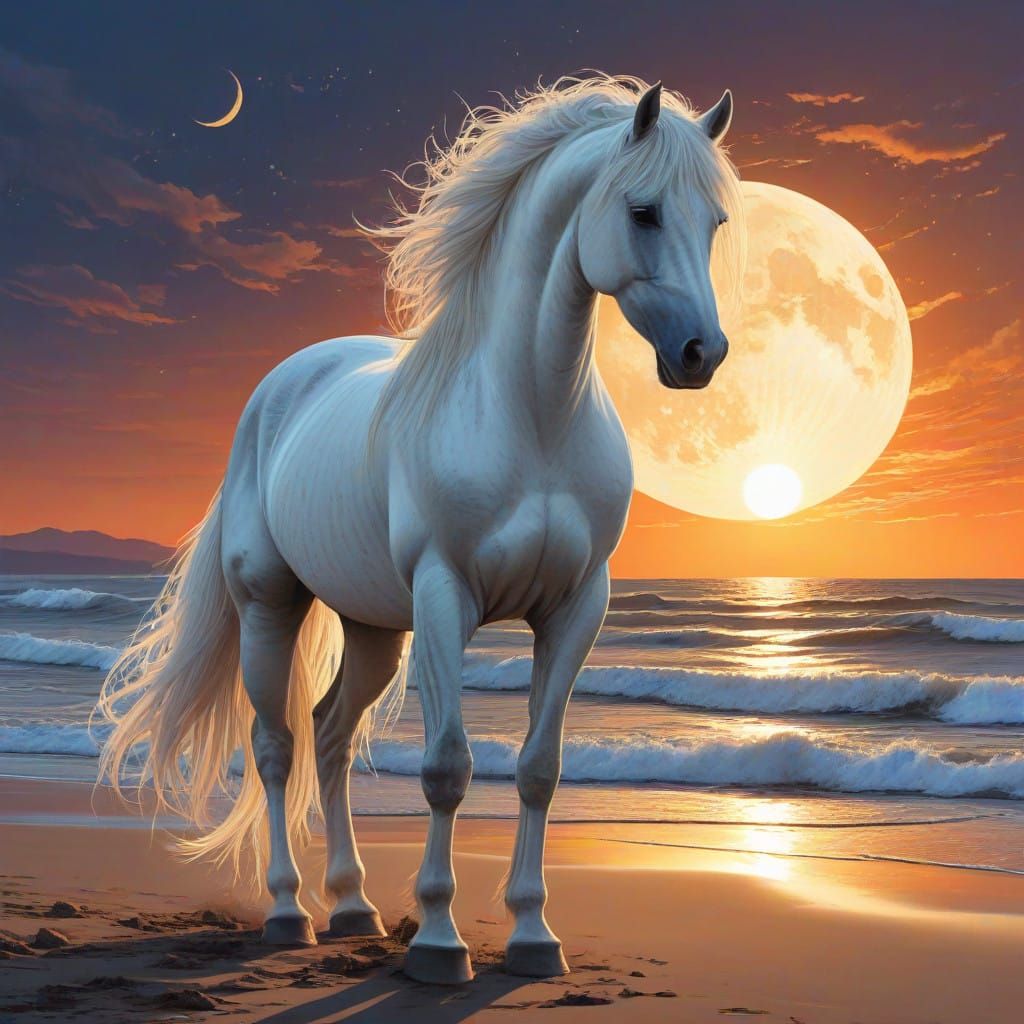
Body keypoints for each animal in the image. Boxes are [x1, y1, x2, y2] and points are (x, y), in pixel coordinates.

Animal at [98, 75, 743, 986]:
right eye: (644, 211)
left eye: (714, 222)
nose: (700, 354)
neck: (532, 417)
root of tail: (279, 387)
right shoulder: (445, 597)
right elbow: (446, 767)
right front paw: (440, 943)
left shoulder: (576, 608)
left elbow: (539, 769)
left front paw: (533, 936)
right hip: (270, 607)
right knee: (276, 745)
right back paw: (290, 912)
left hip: (373, 628)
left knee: (331, 736)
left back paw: (353, 907)